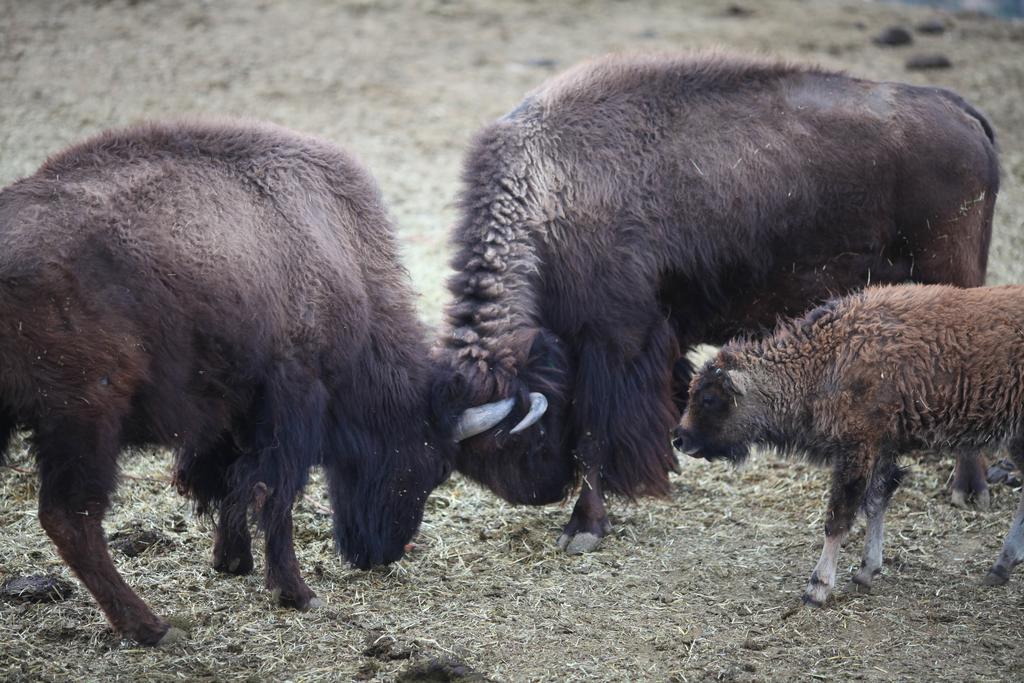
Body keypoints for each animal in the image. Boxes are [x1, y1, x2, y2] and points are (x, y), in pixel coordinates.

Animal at [0, 122, 448, 647]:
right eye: (427, 464)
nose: (381, 554)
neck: (341, 254)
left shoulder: (233, 409)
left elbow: (229, 482)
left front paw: (232, 561)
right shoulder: (292, 398)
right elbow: (273, 492)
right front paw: (296, 592)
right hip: (87, 416)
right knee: (71, 519)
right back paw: (152, 627)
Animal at [432, 53, 999, 557]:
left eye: (511, 441)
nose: (539, 493)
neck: (547, 193)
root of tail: (958, 110)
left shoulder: (614, 345)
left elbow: (596, 436)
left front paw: (584, 528)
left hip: (952, 276)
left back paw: (968, 488)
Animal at [671, 286, 1024, 606]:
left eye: (708, 398)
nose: (680, 438)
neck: (826, 358)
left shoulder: (857, 448)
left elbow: (839, 516)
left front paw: (817, 588)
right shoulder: (881, 447)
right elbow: (876, 502)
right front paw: (866, 572)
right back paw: (1000, 568)